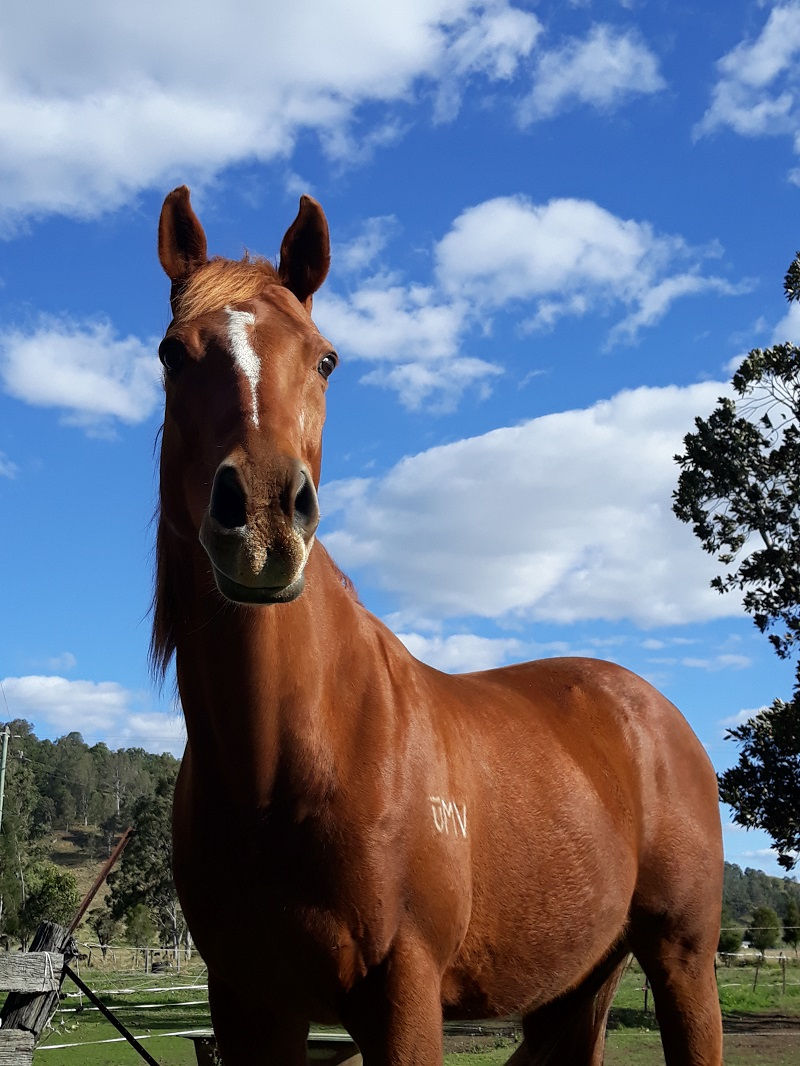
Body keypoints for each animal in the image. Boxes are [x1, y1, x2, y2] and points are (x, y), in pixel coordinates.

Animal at [154, 185, 724, 1065]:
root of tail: (652, 709)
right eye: (172, 355)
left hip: (683, 958)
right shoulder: (250, 1005)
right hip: (574, 986)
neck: (287, 761)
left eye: (325, 359)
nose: (263, 519)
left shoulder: (403, 993)